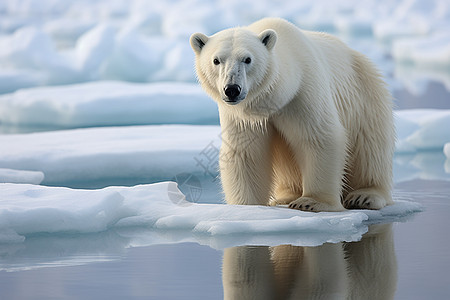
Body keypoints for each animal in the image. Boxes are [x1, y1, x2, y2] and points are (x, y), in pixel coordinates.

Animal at [190, 17, 394, 212]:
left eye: (247, 59)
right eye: (216, 60)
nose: (232, 89)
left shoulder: (303, 92)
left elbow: (319, 137)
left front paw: (311, 202)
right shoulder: (244, 117)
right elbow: (245, 152)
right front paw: (247, 206)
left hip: (364, 96)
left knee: (370, 147)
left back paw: (364, 195)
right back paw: (285, 196)